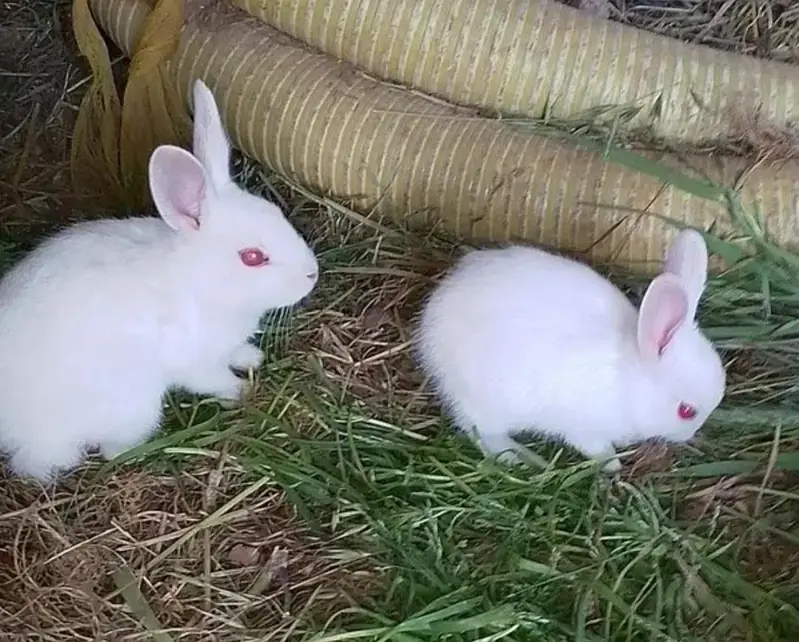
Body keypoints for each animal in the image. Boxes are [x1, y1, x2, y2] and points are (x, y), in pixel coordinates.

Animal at [0, 79, 319, 482]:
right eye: (252, 257)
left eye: (277, 213)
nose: (312, 274)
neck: (198, 283)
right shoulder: (194, 362)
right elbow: (213, 380)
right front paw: (242, 391)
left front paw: (253, 358)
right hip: (134, 407)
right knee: (105, 451)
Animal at [414, 229, 725, 472]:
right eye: (686, 412)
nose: (690, 435)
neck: (632, 381)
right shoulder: (584, 429)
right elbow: (597, 448)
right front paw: (612, 464)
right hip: (488, 403)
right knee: (479, 432)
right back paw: (522, 457)